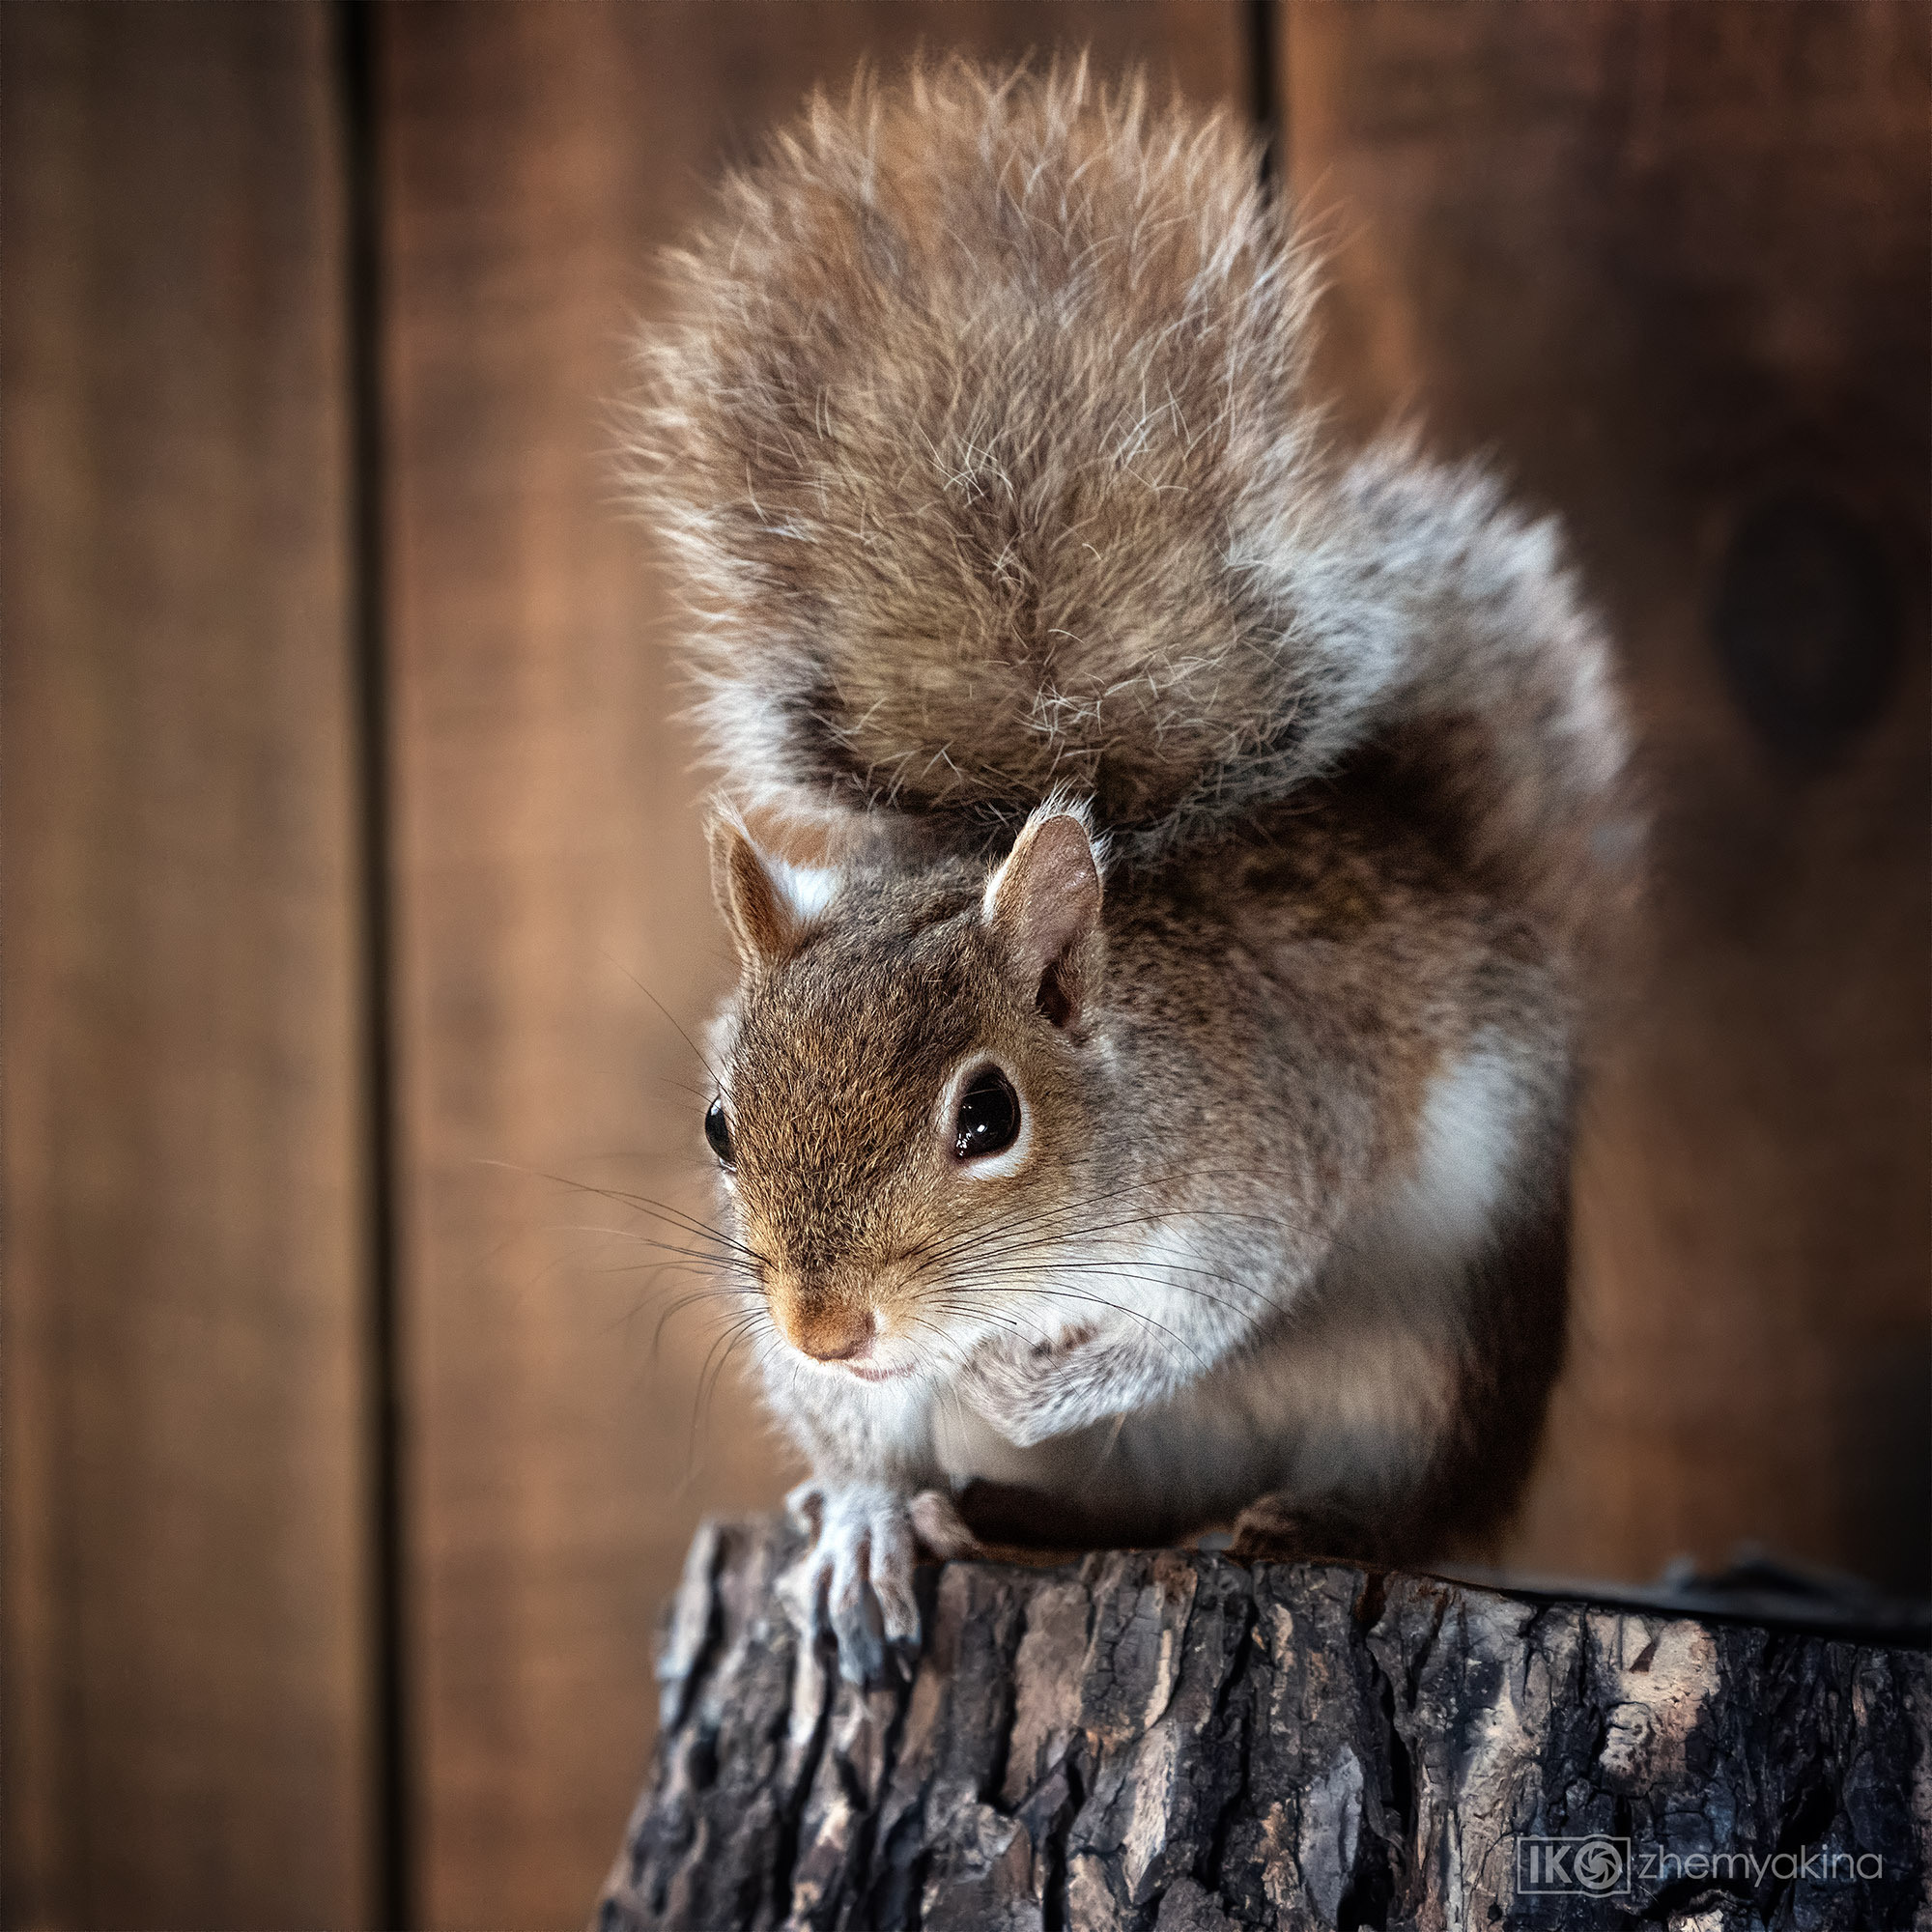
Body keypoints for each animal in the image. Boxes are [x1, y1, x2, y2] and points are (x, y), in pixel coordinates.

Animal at [628, 59, 1635, 1683]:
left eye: (987, 1119)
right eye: (721, 1126)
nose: (828, 1325)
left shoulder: (1262, 1160)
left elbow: (1207, 1307)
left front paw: (1020, 1382)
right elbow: (860, 1442)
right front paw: (862, 1523)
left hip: (1439, 1364)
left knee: (1407, 1494)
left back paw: (1322, 1521)